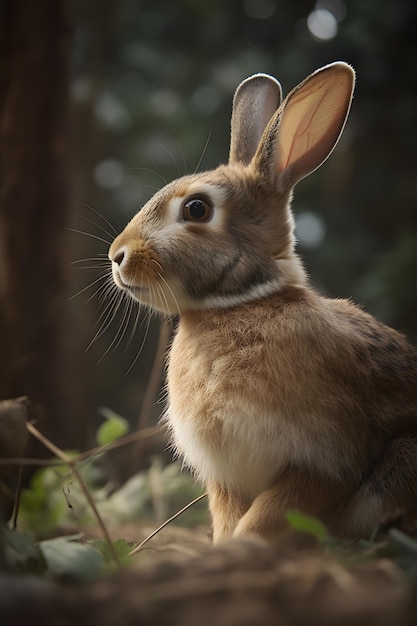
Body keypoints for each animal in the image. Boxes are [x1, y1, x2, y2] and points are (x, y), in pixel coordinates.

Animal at [108, 64, 416, 540]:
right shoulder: (227, 477)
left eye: (196, 209)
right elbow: (232, 518)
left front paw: (239, 550)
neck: (238, 305)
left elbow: (267, 518)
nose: (116, 256)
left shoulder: (323, 460)